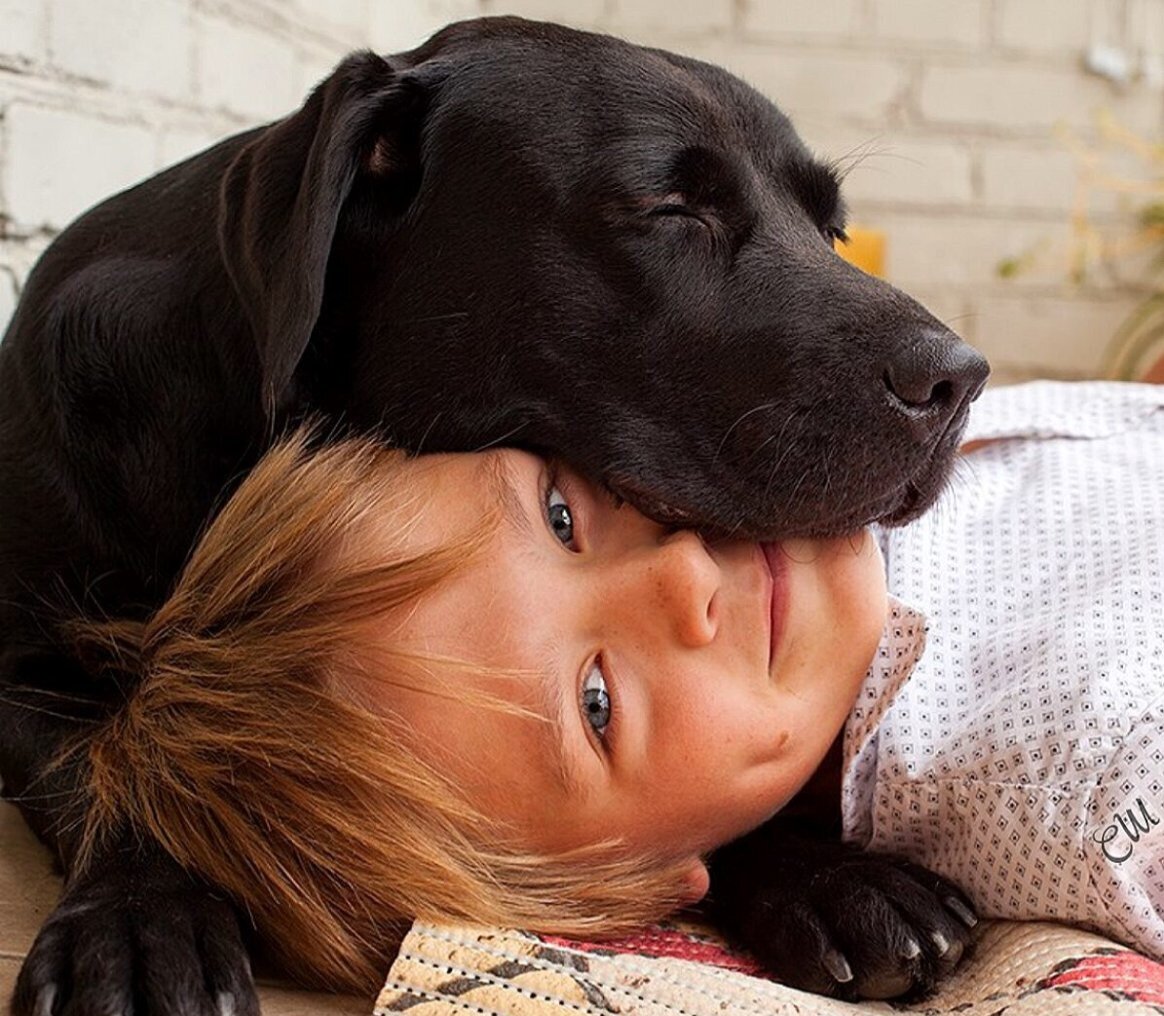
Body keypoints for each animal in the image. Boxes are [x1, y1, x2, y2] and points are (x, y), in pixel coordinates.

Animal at [0, 17, 987, 1014]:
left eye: (831, 227)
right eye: (669, 205)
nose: (960, 377)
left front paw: (829, 876)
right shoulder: (23, 663)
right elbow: (112, 757)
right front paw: (135, 919)